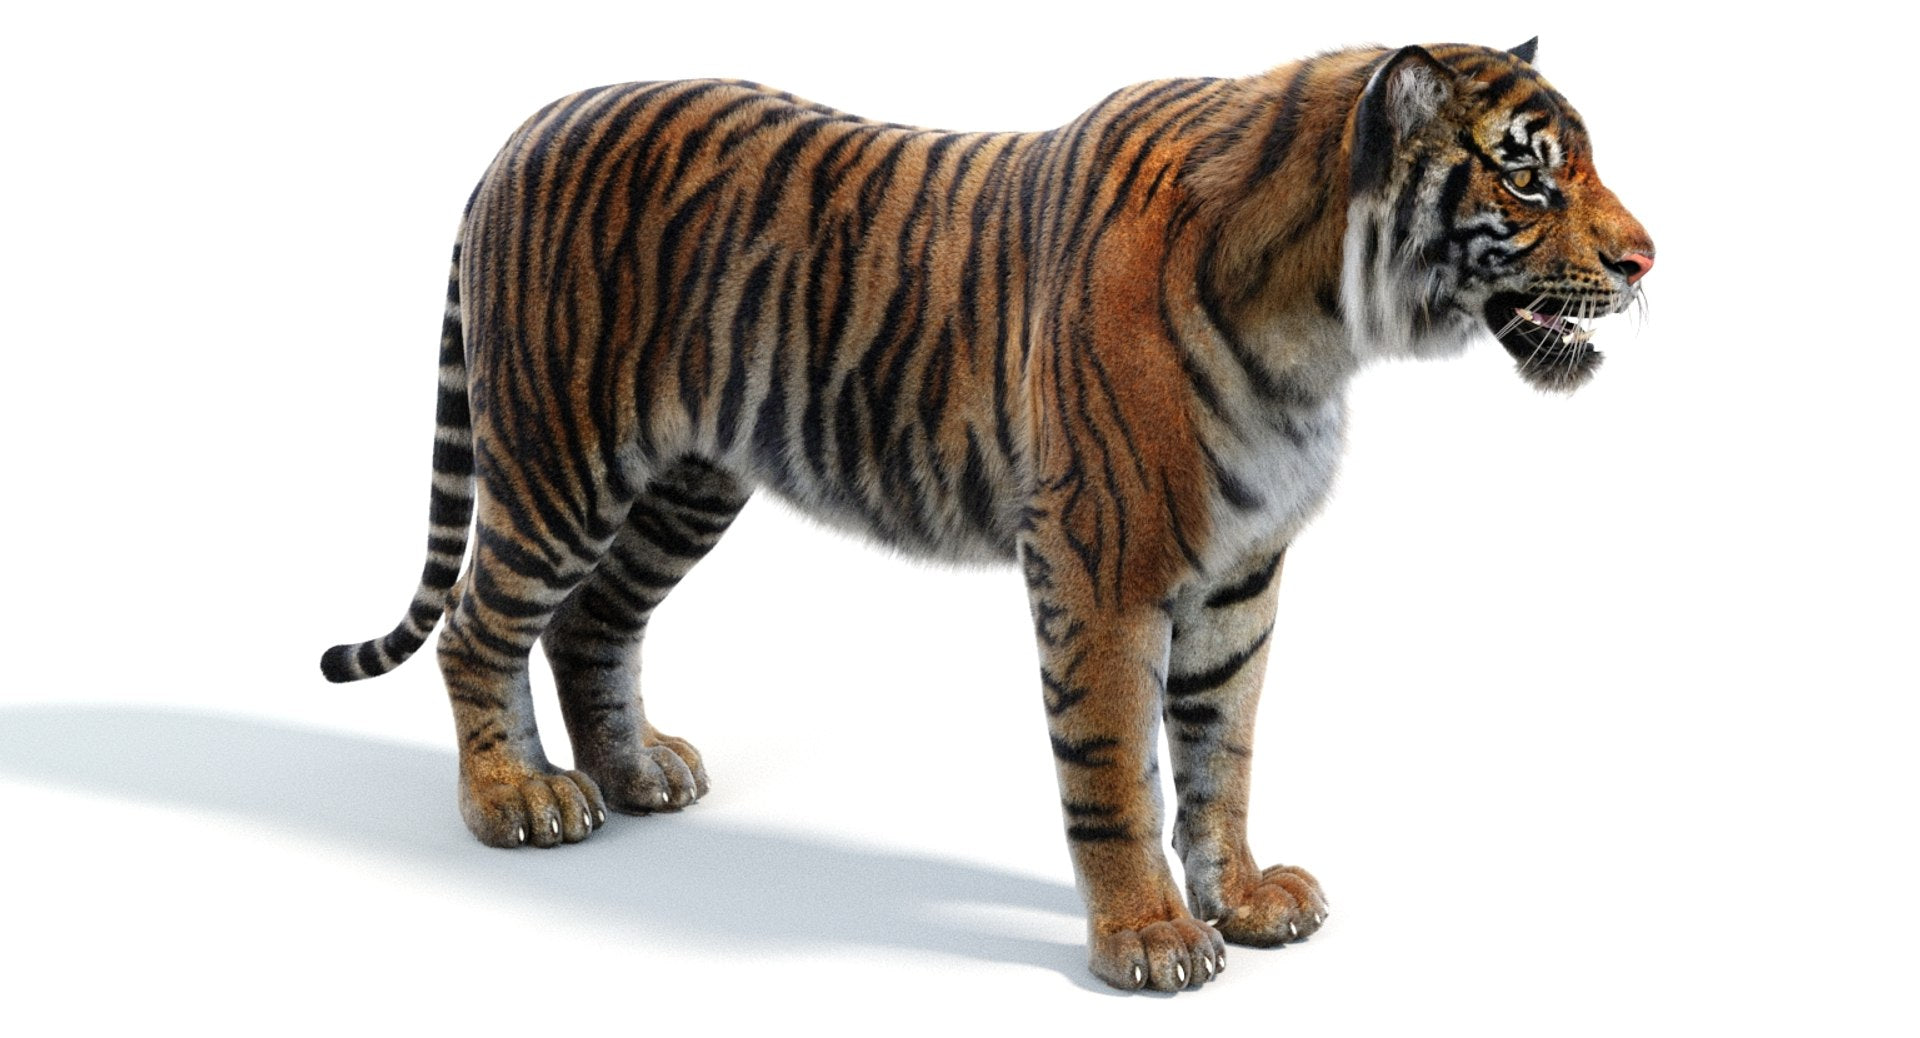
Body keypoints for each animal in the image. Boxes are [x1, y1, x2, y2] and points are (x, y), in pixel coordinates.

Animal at [321, 38, 1653, 992]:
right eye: (1529, 173)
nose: (1647, 261)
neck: (1324, 330)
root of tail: (527, 128)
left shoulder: (1241, 579)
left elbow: (1223, 754)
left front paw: (1244, 900)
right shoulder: (1103, 566)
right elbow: (1117, 768)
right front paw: (1148, 942)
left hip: (687, 482)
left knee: (592, 624)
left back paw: (638, 772)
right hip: (564, 460)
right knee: (479, 628)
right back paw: (519, 801)